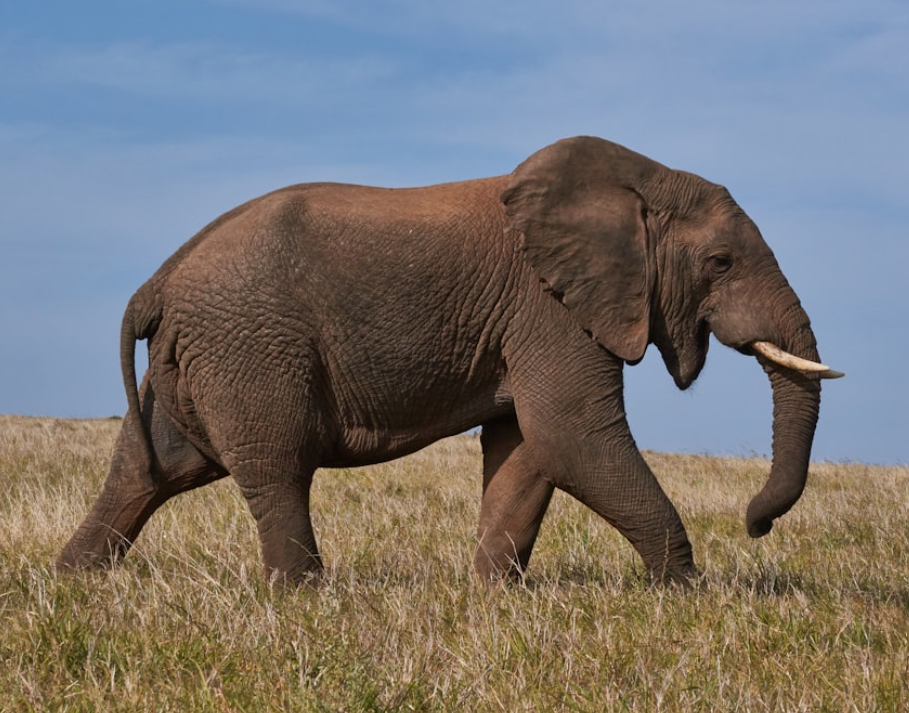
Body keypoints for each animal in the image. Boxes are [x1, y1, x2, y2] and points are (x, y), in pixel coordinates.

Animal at [58, 136, 842, 586]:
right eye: (720, 262)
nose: (755, 525)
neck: (637, 181)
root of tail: (158, 280)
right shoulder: (548, 308)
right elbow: (572, 436)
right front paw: (681, 593)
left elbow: (527, 448)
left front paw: (491, 597)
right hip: (249, 345)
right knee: (275, 466)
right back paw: (303, 598)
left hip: (197, 359)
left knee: (150, 468)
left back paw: (74, 583)